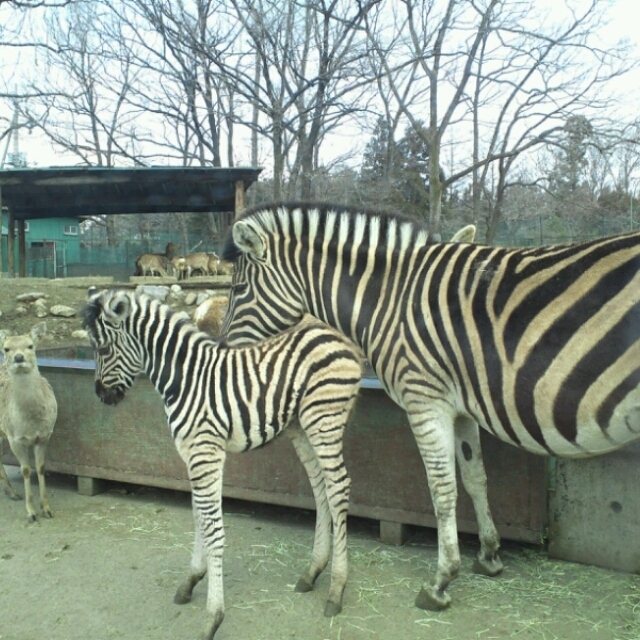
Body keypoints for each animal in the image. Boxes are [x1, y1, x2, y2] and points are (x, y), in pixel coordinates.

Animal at [221, 202, 640, 612]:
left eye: (239, 288)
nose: (223, 349)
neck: (388, 300)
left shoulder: (425, 399)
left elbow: (442, 488)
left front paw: (441, 580)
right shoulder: (462, 406)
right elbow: (474, 477)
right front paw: (489, 554)